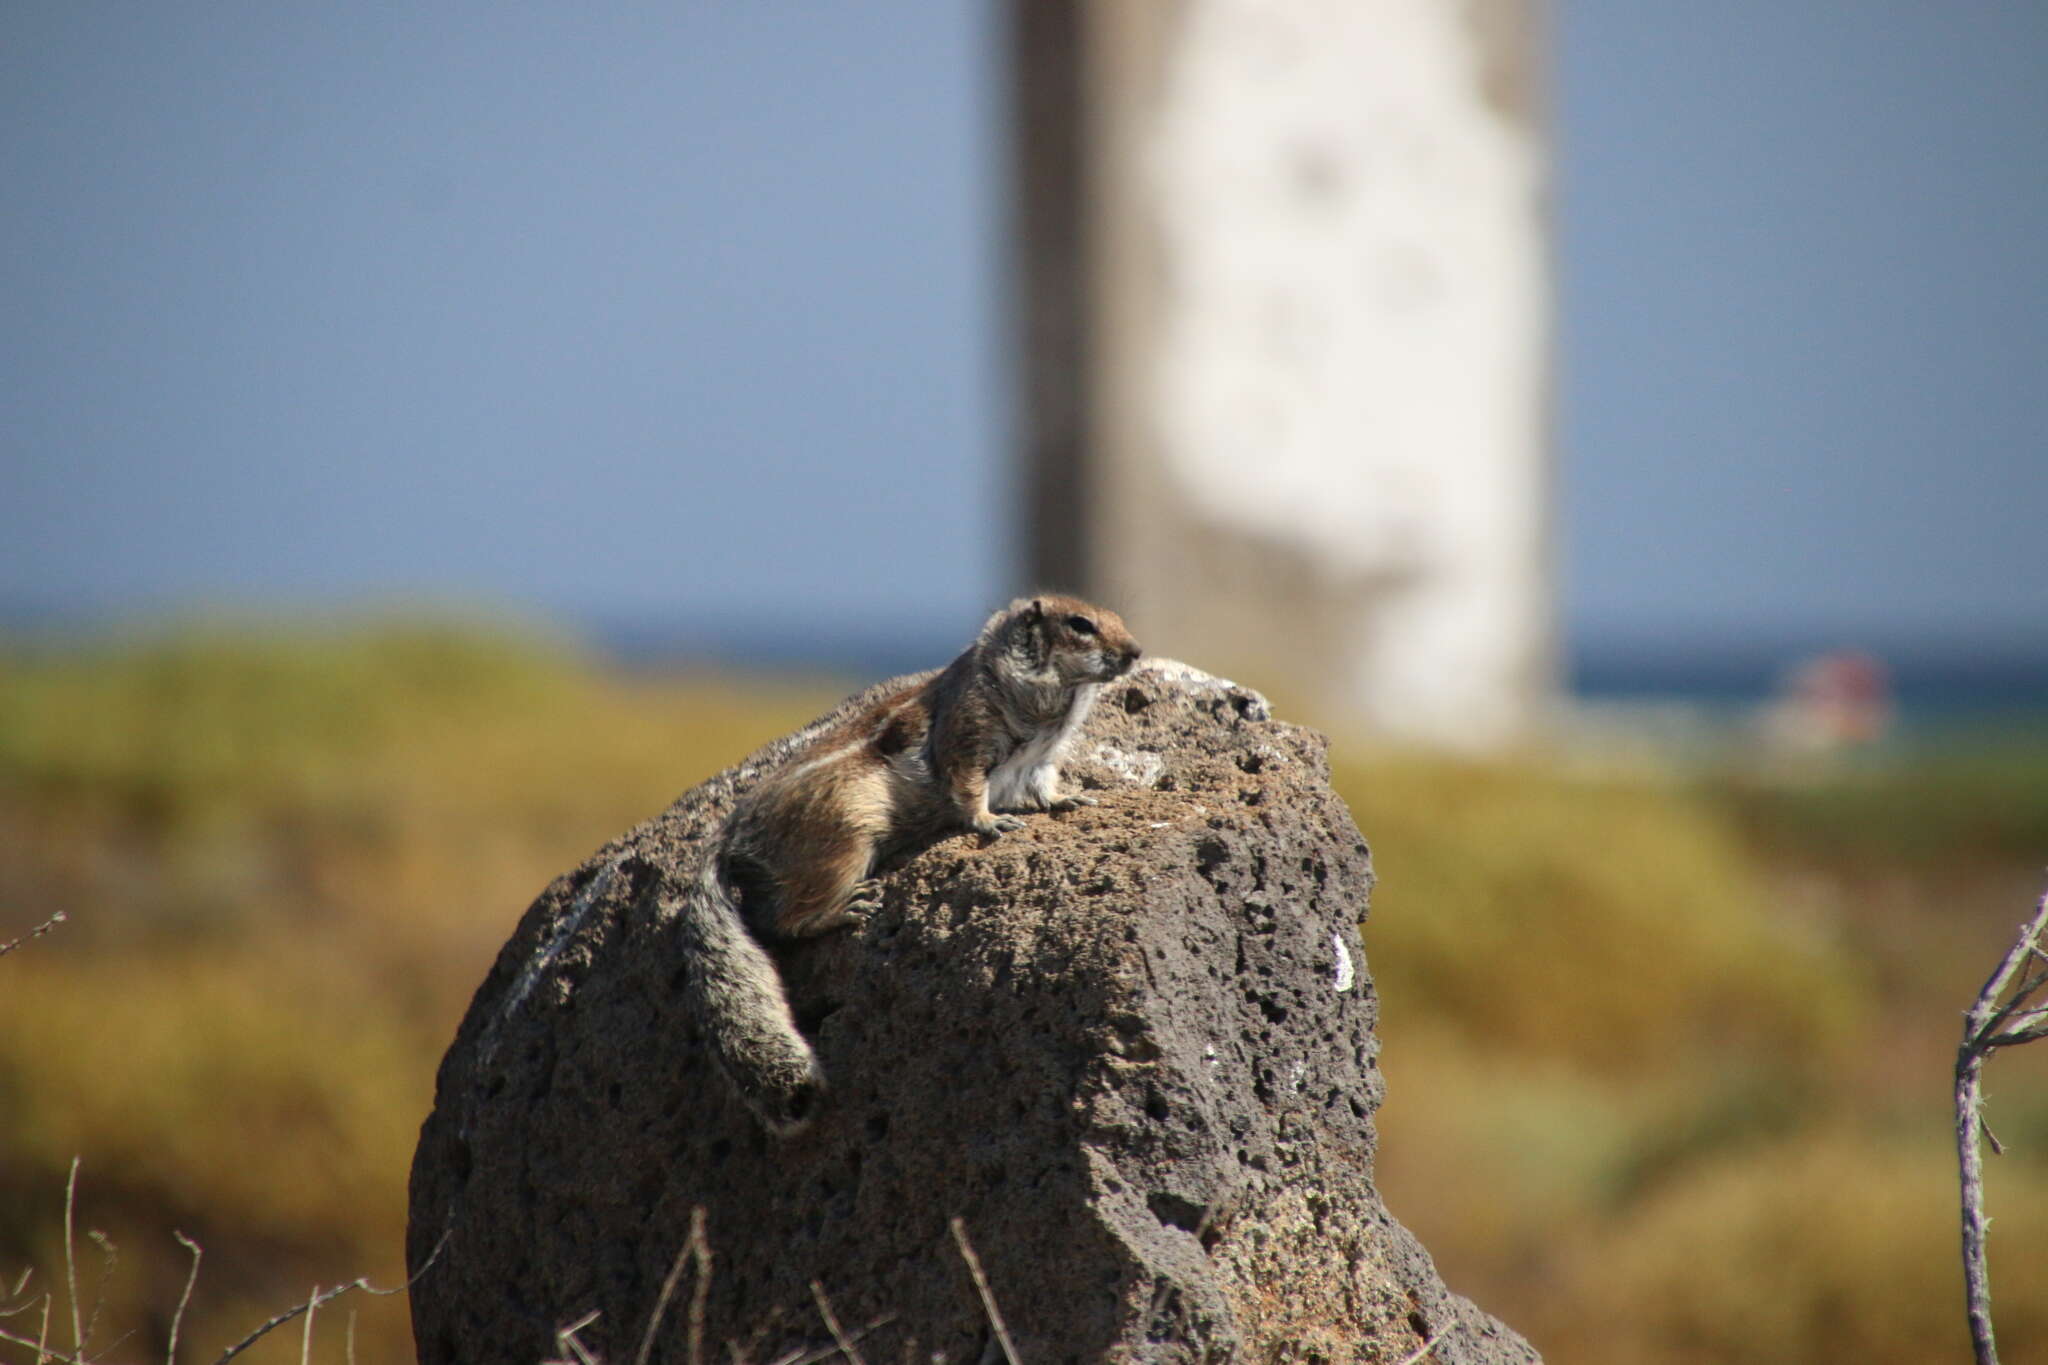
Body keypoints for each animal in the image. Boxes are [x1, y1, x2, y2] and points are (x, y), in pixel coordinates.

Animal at [675, 593, 1146, 1137]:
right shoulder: (968, 732)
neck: (1051, 700)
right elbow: (968, 787)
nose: (1136, 652)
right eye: (1080, 624)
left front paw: (1069, 799)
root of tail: (729, 836)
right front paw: (990, 821)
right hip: (845, 838)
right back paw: (844, 909)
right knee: (782, 921)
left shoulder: (1039, 761)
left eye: (1115, 617)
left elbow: (1044, 786)